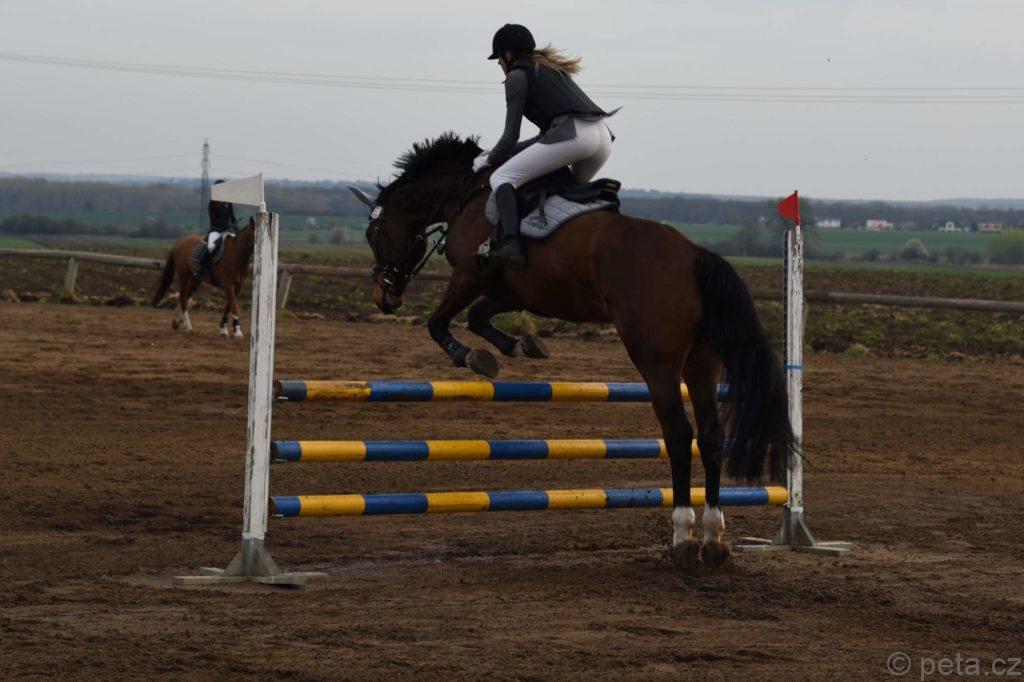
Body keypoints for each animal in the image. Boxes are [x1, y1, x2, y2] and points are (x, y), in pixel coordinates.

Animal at [350, 133, 795, 571]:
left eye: (372, 235)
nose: (384, 298)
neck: (466, 195)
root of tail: (695, 255)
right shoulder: (512, 290)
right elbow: (478, 317)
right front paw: (521, 344)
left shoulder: (470, 275)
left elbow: (438, 323)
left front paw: (472, 357)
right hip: (701, 361)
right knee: (711, 436)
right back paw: (714, 540)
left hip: (657, 359)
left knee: (679, 434)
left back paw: (683, 538)